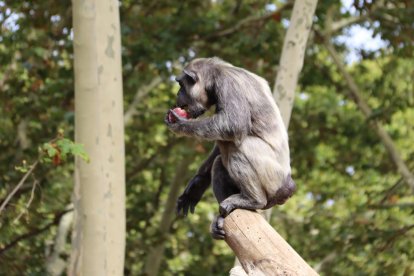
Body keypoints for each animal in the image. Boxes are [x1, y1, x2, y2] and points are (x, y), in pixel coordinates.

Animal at [163, 56, 296, 239]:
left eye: (182, 85)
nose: (178, 93)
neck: (214, 76)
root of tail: (288, 186)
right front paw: (196, 185)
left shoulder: (227, 84)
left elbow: (233, 124)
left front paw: (180, 124)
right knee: (219, 163)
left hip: (272, 178)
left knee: (235, 147)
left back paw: (253, 199)